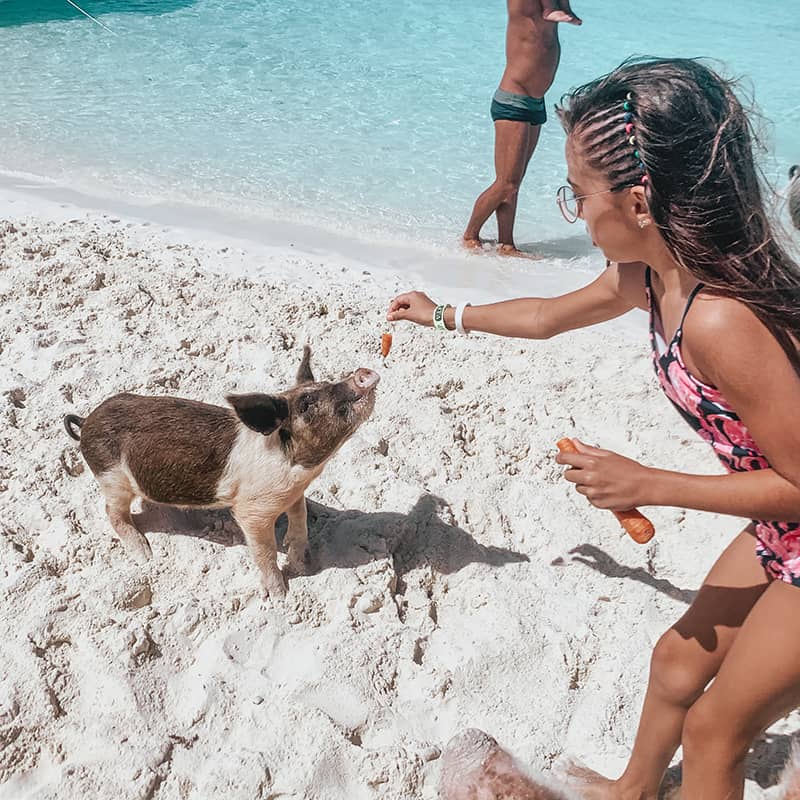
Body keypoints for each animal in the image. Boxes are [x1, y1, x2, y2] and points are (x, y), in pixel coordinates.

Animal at [61, 346, 380, 600]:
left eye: (326, 383)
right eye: (306, 404)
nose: (362, 373)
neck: (300, 470)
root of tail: (86, 422)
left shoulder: (294, 494)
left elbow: (299, 519)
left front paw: (302, 561)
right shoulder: (251, 511)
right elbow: (264, 549)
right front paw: (280, 596)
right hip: (112, 478)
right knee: (112, 512)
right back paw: (146, 555)